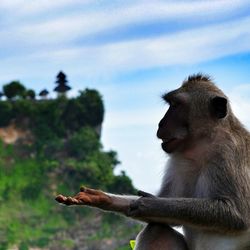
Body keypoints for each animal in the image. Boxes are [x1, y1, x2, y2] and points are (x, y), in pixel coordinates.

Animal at [56, 74, 250, 250]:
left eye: (176, 105)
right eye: (170, 104)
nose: (160, 124)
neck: (204, 145)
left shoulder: (229, 153)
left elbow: (235, 214)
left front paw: (147, 204)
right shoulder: (179, 158)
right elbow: (167, 206)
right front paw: (102, 198)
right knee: (156, 229)